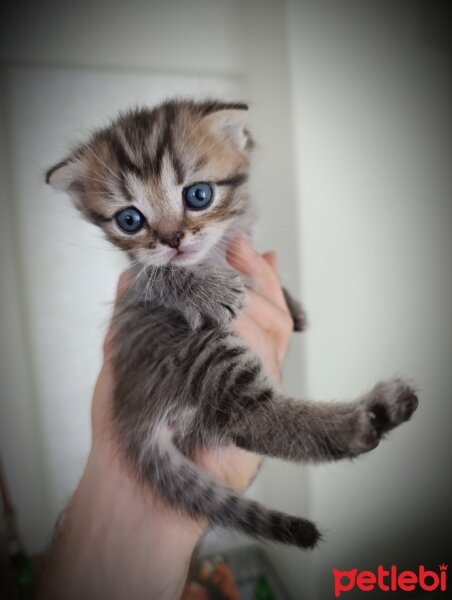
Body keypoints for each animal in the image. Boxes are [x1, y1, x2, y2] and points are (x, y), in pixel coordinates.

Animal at [46, 99, 416, 548]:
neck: (218, 246)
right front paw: (204, 289)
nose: (173, 240)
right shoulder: (137, 278)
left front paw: (293, 306)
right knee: (250, 418)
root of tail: (131, 411)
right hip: (202, 352)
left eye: (198, 195)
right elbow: (159, 275)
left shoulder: (245, 235)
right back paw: (366, 420)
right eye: (130, 220)